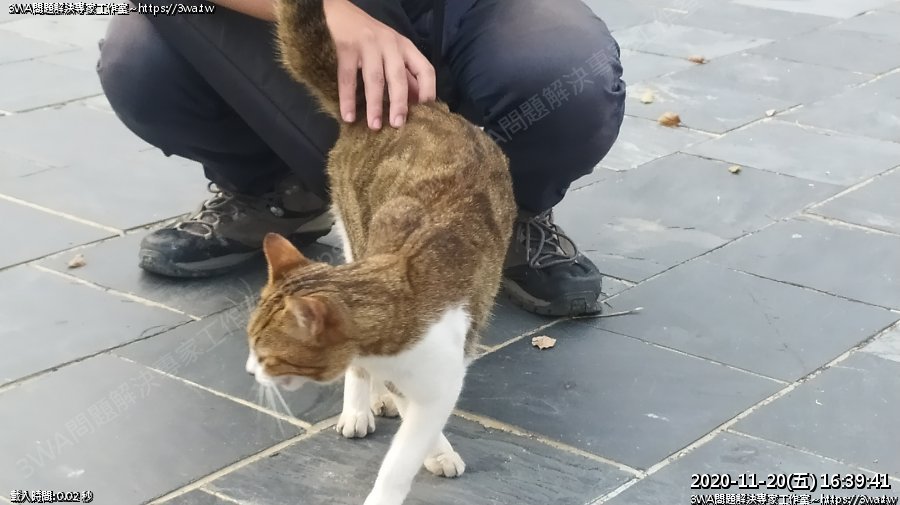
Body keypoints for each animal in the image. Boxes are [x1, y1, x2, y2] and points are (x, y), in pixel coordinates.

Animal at [243, 0, 516, 504]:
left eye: (268, 356)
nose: (252, 372)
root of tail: (399, 107)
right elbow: (404, 410)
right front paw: (412, 428)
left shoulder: (442, 378)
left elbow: (405, 450)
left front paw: (423, 454)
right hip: (354, 224)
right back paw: (361, 405)